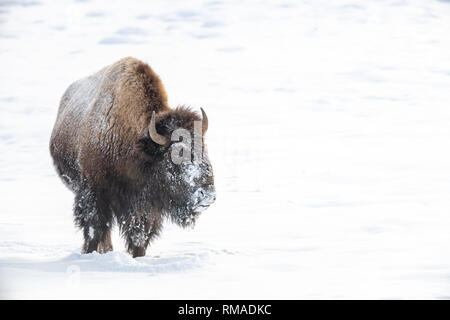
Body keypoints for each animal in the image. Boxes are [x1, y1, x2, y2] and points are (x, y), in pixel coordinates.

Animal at [50, 57, 215, 258]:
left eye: (204, 148)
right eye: (176, 154)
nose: (208, 195)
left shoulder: (144, 206)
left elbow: (139, 237)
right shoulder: (93, 193)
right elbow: (94, 230)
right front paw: (89, 253)